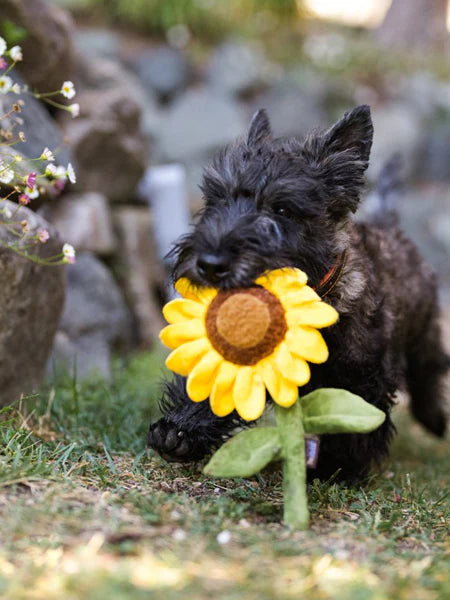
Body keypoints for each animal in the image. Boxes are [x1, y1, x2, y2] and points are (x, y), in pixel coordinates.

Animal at [148, 105, 446, 482]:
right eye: (217, 199)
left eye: (282, 209)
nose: (210, 264)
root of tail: (388, 224)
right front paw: (179, 432)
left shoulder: (363, 377)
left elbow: (353, 420)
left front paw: (338, 466)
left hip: (425, 326)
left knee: (429, 367)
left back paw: (434, 419)